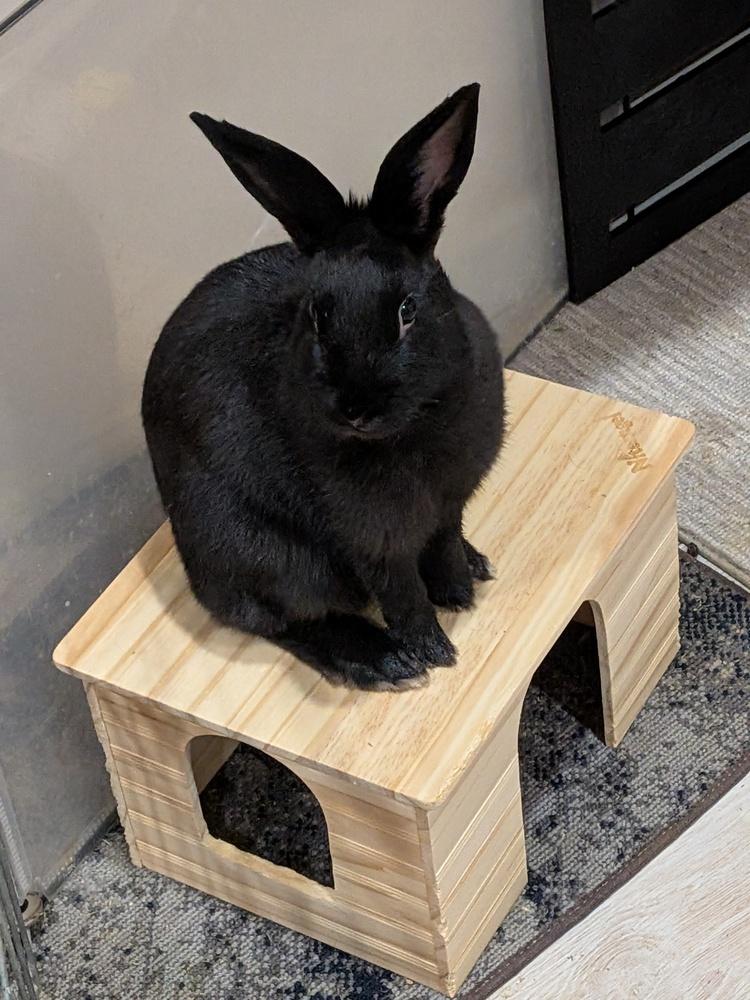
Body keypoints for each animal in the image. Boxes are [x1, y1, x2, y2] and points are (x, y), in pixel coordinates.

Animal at [142, 83, 505, 691]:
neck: (413, 428)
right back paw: (381, 662)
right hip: (266, 557)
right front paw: (433, 652)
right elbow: (403, 596)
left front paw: (460, 590)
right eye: (317, 315)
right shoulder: (374, 540)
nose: (356, 408)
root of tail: (194, 572)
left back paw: (477, 566)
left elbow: (444, 547)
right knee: (285, 621)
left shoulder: (447, 507)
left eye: (407, 310)